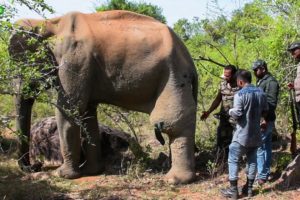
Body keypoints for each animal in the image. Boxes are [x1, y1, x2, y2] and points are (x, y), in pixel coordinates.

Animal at [8, 10, 198, 184]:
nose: (36, 166)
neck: (49, 22)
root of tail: (190, 60)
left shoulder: (74, 60)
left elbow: (68, 111)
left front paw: (62, 175)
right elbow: (87, 115)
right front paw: (91, 171)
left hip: (173, 76)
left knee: (171, 123)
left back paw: (174, 180)